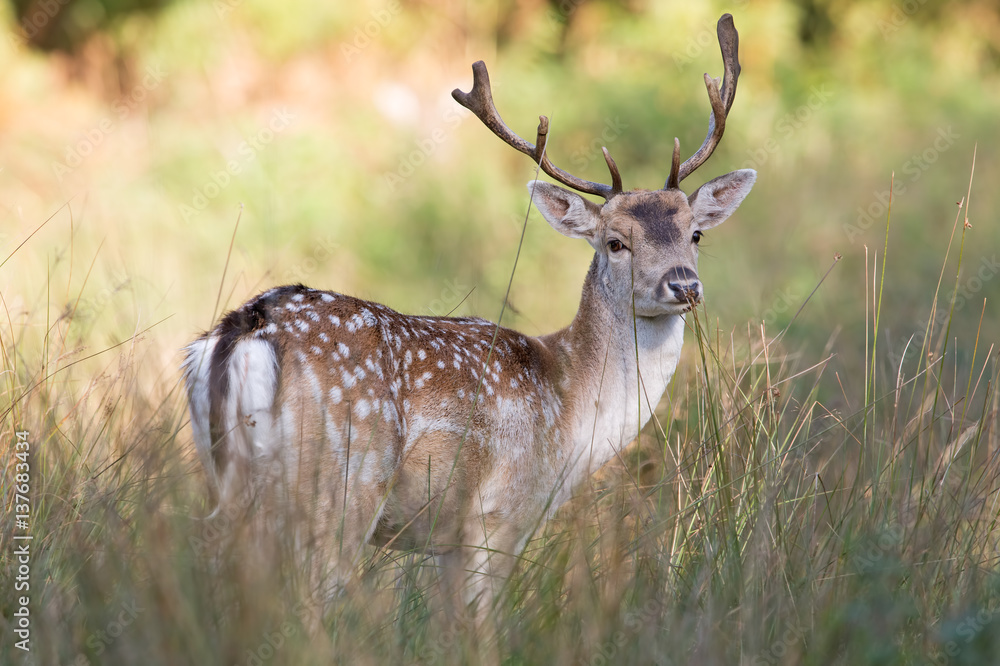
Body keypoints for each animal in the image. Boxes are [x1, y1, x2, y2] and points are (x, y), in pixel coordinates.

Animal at [183, 13, 754, 620]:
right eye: (616, 242)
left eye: (695, 233)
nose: (684, 284)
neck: (573, 411)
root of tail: (246, 330)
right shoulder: (498, 515)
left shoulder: (449, 538)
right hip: (338, 485)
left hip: (226, 479)